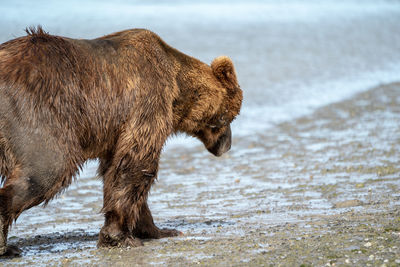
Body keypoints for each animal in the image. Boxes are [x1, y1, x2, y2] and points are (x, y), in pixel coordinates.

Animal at [0, 26, 242, 256]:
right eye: (228, 116)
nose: (227, 145)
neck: (178, 90)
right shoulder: (147, 102)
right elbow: (136, 165)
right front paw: (119, 237)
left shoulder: (115, 133)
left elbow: (118, 170)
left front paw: (159, 230)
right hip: (38, 111)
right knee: (48, 168)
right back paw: (7, 246)